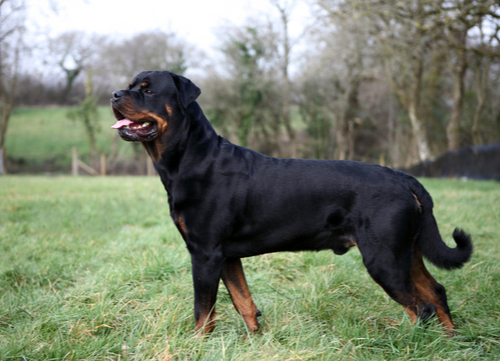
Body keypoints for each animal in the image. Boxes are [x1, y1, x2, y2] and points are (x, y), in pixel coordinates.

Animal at [110, 70, 472, 334]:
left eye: (148, 91)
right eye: (129, 86)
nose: (114, 94)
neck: (191, 157)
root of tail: (405, 179)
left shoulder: (205, 253)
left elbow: (203, 312)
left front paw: (199, 345)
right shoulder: (226, 256)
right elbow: (244, 302)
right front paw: (255, 341)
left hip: (384, 258)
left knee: (420, 307)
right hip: (407, 252)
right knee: (436, 292)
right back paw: (450, 339)